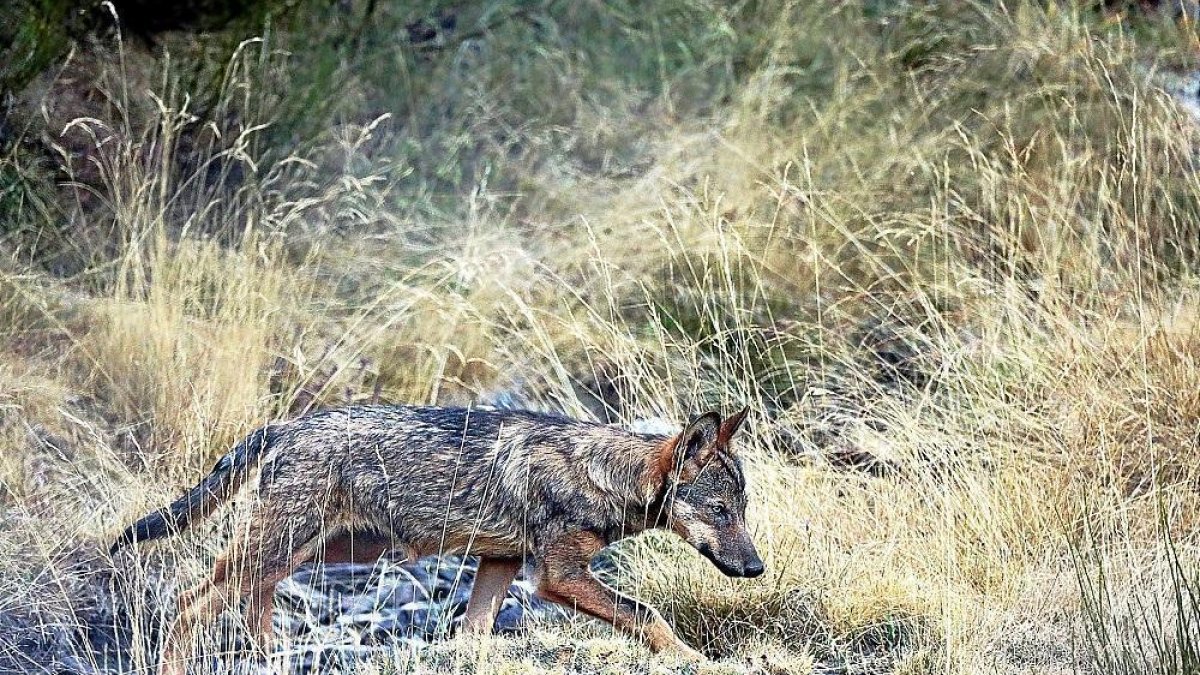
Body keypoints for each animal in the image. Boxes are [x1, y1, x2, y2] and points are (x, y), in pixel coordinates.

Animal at [109, 404, 763, 675]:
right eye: (721, 512)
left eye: (744, 512)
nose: (756, 568)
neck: (599, 473)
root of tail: (283, 424)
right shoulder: (555, 577)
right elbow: (649, 615)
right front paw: (699, 662)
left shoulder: (500, 564)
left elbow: (474, 636)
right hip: (287, 547)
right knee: (190, 601)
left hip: (320, 550)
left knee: (250, 600)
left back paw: (273, 655)